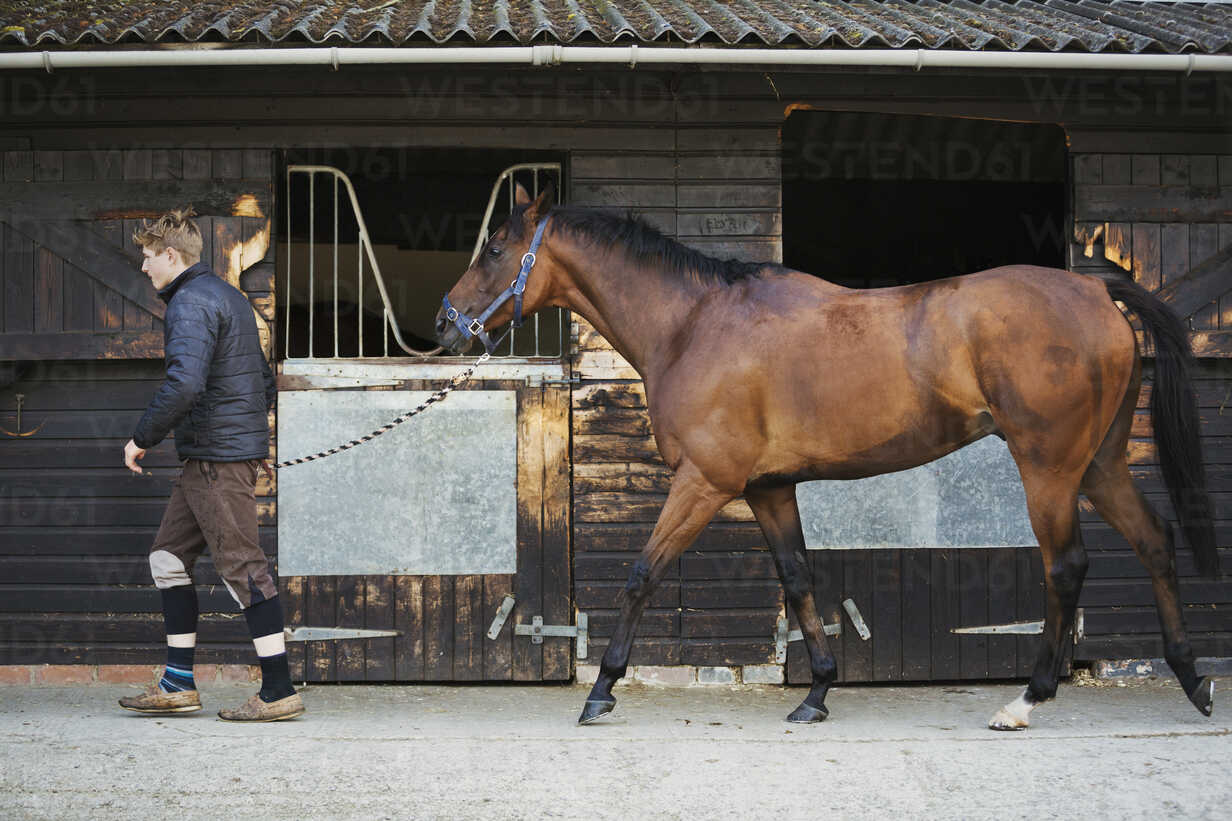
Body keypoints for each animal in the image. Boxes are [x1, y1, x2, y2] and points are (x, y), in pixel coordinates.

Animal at [431, 182, 1212, 724]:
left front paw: (601, 689)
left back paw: (1028, 699)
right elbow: (799, 577)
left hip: (1049, 467)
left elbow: (641, 574)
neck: (693, 324)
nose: (444, 323)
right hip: (1099, 465)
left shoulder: (704, 483)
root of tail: (1093, 290)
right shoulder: (770, 487)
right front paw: (817, 691)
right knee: (1155, 540)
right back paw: (1193, 679)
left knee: (1067, 567)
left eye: (495, 250)